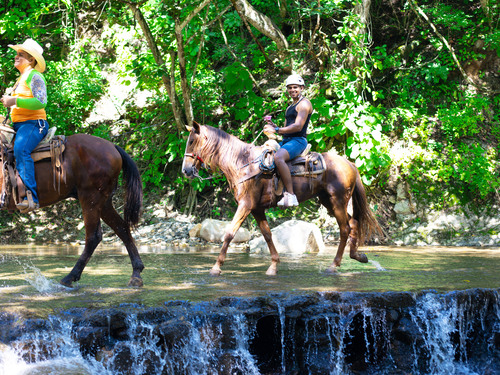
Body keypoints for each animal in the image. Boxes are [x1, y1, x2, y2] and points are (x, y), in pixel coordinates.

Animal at [0, 134, 145, 288]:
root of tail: (112, 147)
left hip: (90, 199)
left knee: (94, 237)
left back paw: (70, 277)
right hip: (103, 203)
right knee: (122, 228)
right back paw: (136, 274)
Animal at [184, 122, 382, 276]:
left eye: (192, 142)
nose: (185, 170)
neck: (243, 163)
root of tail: (350, 164)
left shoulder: (245, 205)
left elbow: (229, 234)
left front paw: (216, 268)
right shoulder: (257, 208)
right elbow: (267, 235)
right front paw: (273, 266)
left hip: (338, 200)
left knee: (345, 229)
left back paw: (334, 265)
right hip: (329, 201)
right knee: (354, 223)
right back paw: (358, 256)